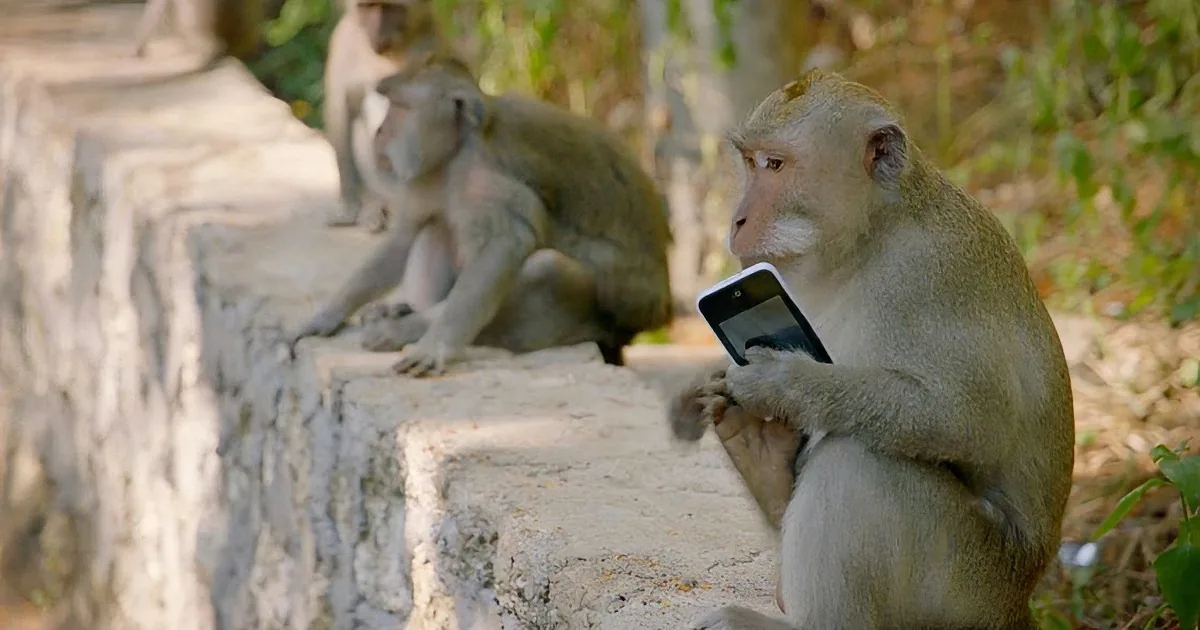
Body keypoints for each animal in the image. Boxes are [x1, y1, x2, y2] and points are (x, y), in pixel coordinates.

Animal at [289, 54, 674, 375]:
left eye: (399, 107)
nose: (381, 131)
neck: (457, 149)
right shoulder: (428, 173)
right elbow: (405, 235)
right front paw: (328, 314)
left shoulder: (483, 174)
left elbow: (505, 244)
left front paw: (436, 344)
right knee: (438, 225)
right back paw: (406, 310)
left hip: (608, 316)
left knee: (547, 268)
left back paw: (405, 328)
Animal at [322, 0, 445, 232]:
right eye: (368, 7)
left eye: (390, 8)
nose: (376, 34)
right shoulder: (343, 39)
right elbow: (340, 112)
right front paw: (348, 206)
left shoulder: (431, 44)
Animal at [665, 69, 1075, 629]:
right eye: (750, 162)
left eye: (776, 165)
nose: (738, 220)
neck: (872, 235)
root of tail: (1018, 605)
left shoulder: (927, 273)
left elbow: (969, 419)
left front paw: (783, 385)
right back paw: (765, 465)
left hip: (968, 585)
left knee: (858, 459)